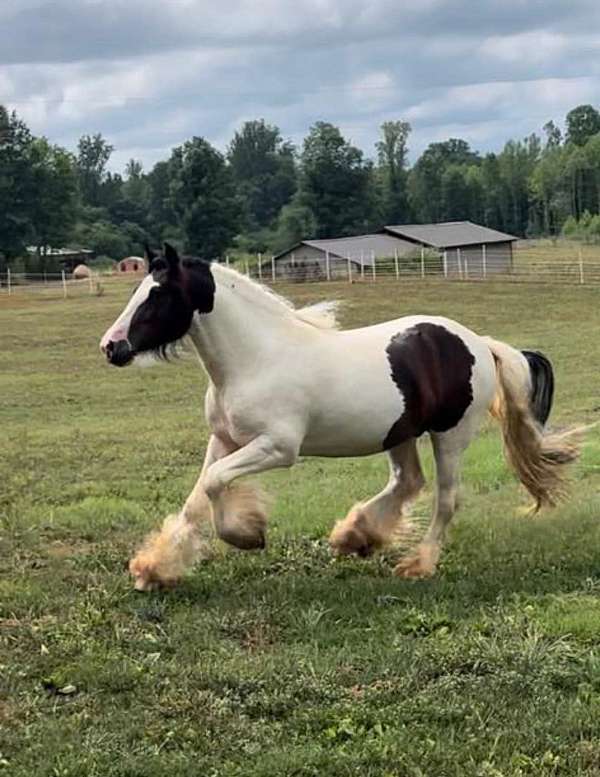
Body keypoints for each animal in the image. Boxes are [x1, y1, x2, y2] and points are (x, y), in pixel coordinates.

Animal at [99, 242, 580, 588]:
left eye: (158, 295)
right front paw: (152, 569)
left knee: (446, 498)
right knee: (408, 482)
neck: (255, 359)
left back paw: (417, 564)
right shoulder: (224, 440)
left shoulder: (277, 448)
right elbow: (198, 495)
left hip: (450, 435)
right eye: (137, 291)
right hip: (400, 433)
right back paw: (355, 536)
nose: (111, 347)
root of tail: (479, 343)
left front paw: (247, 534)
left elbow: (216, 484)